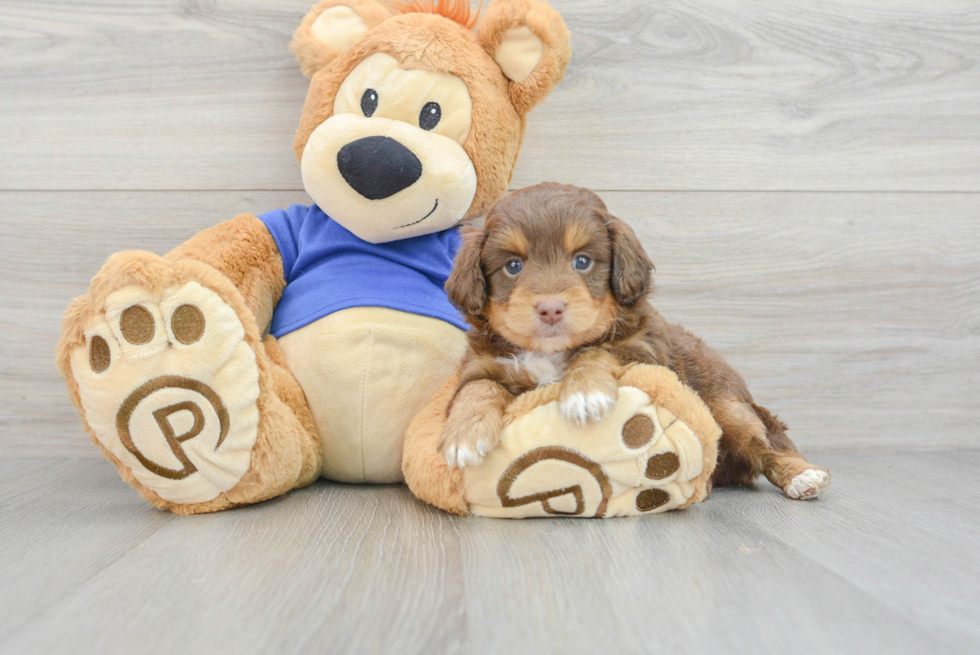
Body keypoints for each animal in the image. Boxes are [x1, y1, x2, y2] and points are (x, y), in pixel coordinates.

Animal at [444, 182, 836, 500]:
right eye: (513, 266)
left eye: (582, 261)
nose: (550, 309)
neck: (549, 353)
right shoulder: (482, 364)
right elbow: (475, 388)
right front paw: (464, 435)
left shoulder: (643, 352)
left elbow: (597, 350)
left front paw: (585, 393)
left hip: (727, 404)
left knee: (766, 441)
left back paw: (801, 475)